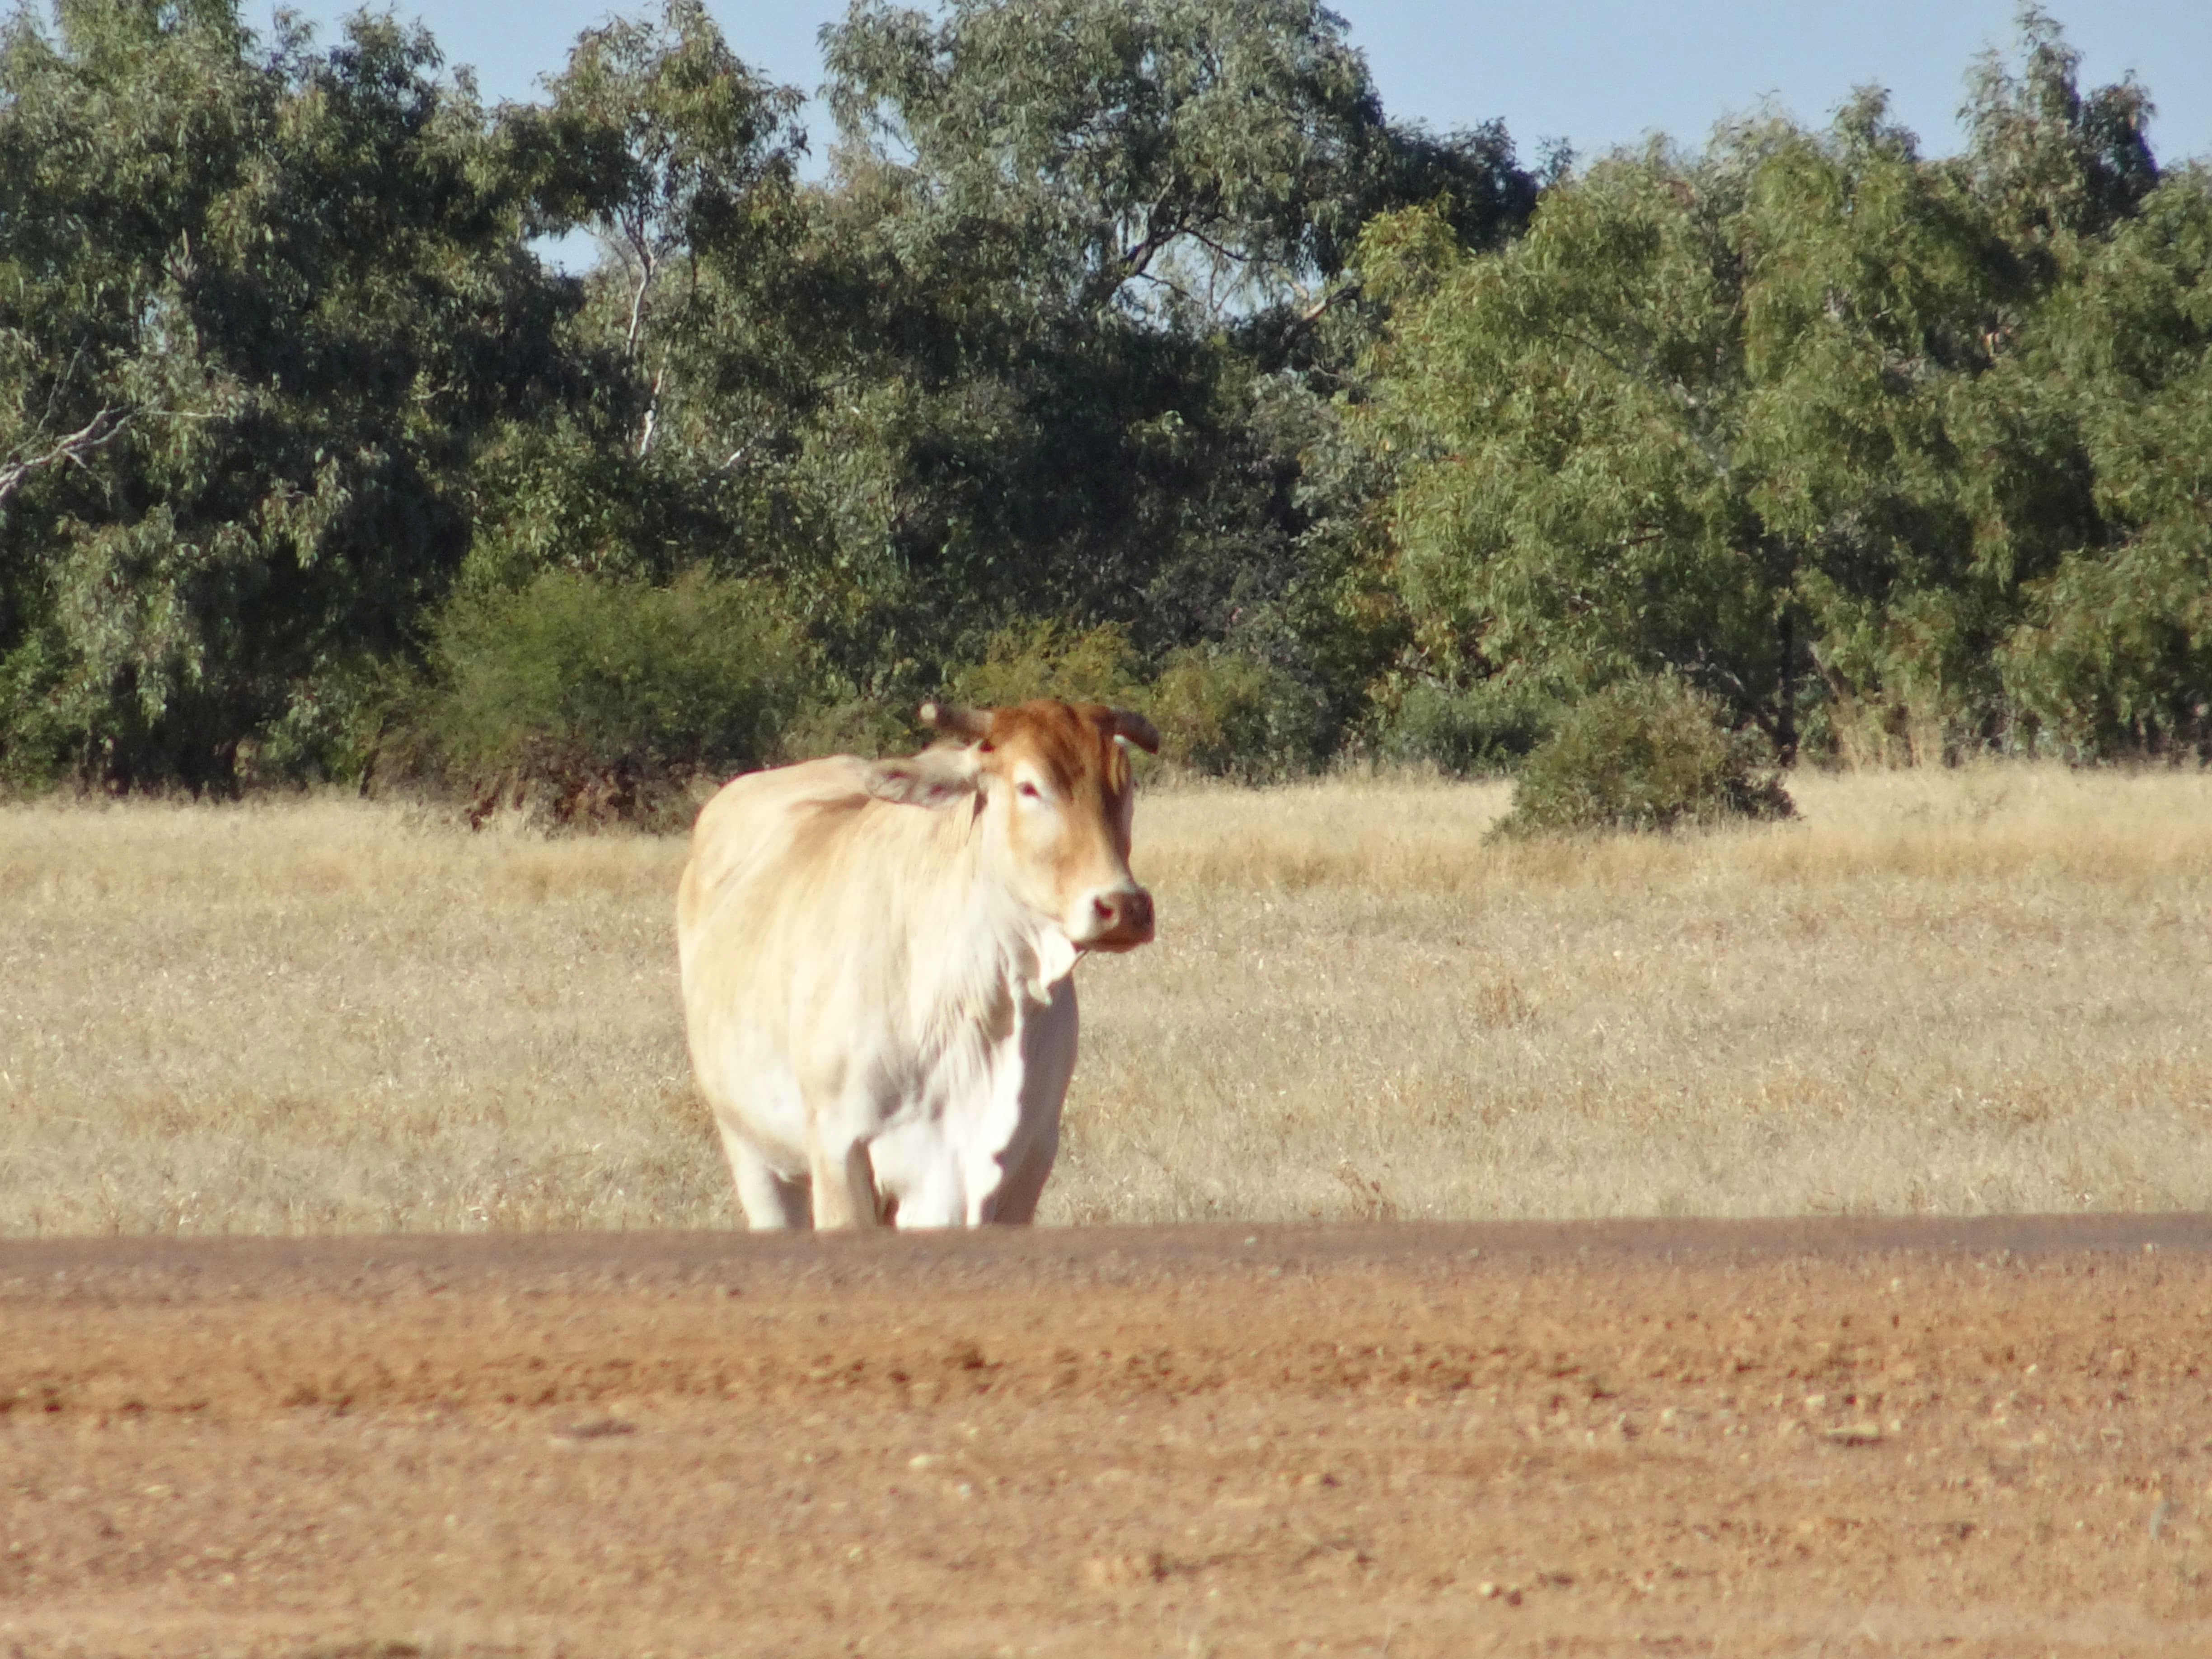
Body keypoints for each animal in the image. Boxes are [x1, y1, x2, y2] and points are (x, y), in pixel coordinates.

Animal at [676, 699, 1159, 1229]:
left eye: (1125, 783)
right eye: (1029, 786)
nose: (1124, 907)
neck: (984, 1007)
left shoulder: (1028, 1160)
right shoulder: (838, 1153)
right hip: (751, 1152)